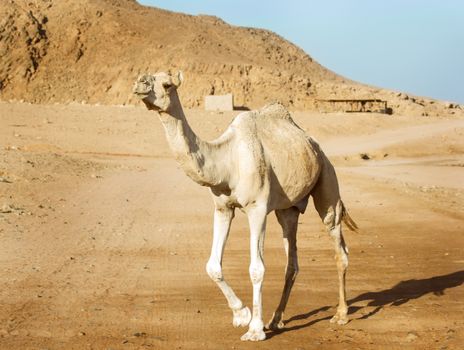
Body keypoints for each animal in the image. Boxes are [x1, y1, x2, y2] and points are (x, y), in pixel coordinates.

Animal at [132, 72, 358, 342]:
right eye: (148, 76)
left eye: (167, 84)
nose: (140, 83)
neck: (227, 160)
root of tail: (315, 145)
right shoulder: (222, 208)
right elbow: (212, 266)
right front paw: (242, 315)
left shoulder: (257, 208)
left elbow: (256, 268)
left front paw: (254, 330)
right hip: (288, 209)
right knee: (291, 261)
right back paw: (276, 319)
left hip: (327, 179)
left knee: (339, 245)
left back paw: (341, 315)